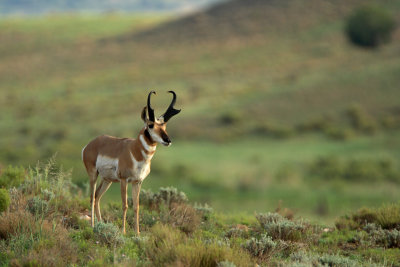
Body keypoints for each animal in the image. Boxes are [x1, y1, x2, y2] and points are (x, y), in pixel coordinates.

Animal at [82, 90, 180, 234]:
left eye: (164, 126)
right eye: (151, 125)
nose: (168, 140)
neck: (134, 151)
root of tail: (90, 144)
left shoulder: (137, 182)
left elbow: (136, 206)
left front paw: (137, 233)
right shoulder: (124, 180)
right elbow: (125, 205)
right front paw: (123, 231)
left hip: (107, 180)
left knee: (96, 197)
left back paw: (101, 224)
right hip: (93, 175)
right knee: (91, 197)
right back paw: (93, 226)